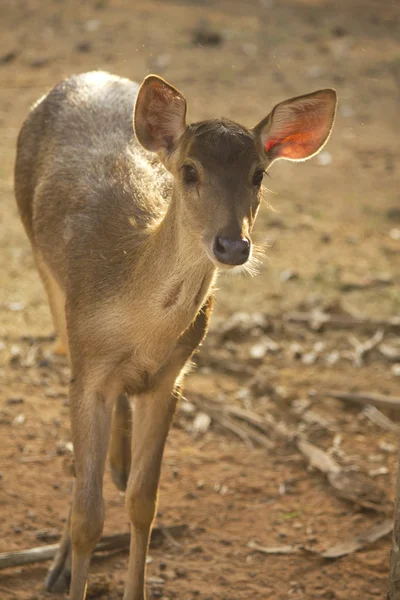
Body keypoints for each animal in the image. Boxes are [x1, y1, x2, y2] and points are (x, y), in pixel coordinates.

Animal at [14, 71, 336, 600]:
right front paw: (68, 570)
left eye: (259, 175)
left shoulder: (171, 379)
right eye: (189, 171)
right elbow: (88, 516)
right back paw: (59, 563)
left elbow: (144, 501)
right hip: (44, 271)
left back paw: (118, 466)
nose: (233, 245)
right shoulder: (88, 371)